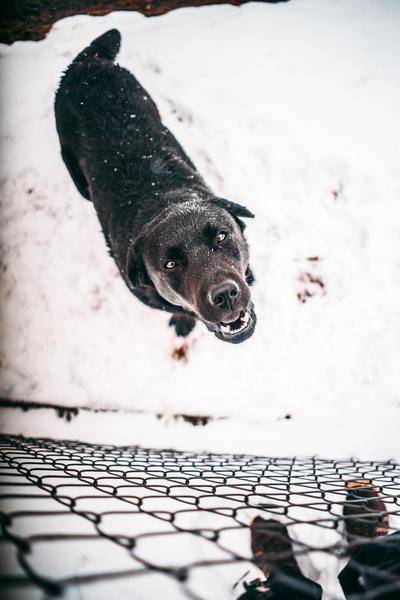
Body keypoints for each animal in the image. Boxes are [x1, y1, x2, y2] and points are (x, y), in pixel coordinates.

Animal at [54, 30, 256, 342]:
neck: (165, 200)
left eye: (222, 237)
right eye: (170, 265)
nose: (225, 295)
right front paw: (184, 322)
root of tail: (87, 63)